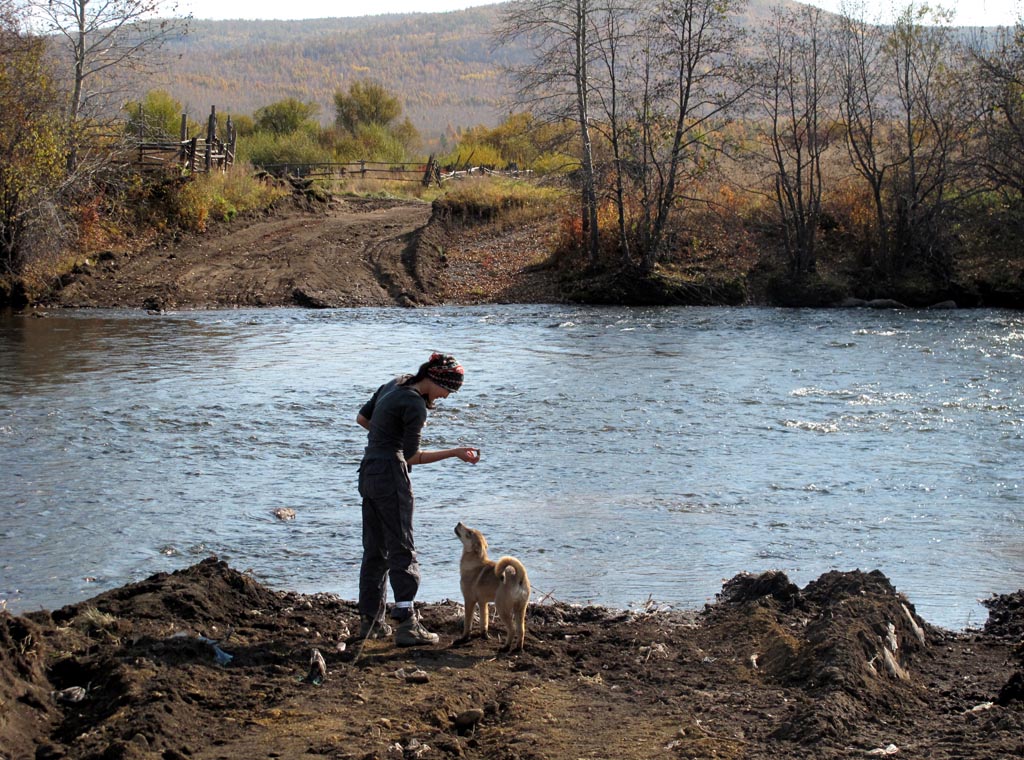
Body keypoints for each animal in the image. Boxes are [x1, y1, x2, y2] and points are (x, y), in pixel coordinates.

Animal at [458, 524, 532, 655]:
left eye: (469, 532)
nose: (459, 523)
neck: (475, 561)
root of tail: (519, 576)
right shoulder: (483, 602)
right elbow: (484, 621)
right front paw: (484, 636)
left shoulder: (469, 600)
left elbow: (467, 622)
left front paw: (464, 638)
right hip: (520, 608)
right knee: (521, 630)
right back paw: (518, 648)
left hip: (502, 608)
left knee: (512, 629)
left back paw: (505, 647)